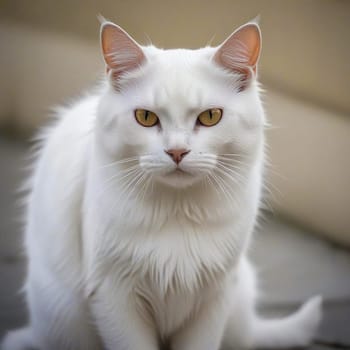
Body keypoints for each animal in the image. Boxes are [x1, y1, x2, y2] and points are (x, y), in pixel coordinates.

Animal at [1, 19, 322, 350]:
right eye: (145, 117)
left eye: (210, 116)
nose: (177, 152)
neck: (177, 213)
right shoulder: (113, 296)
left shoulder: (215, 295)